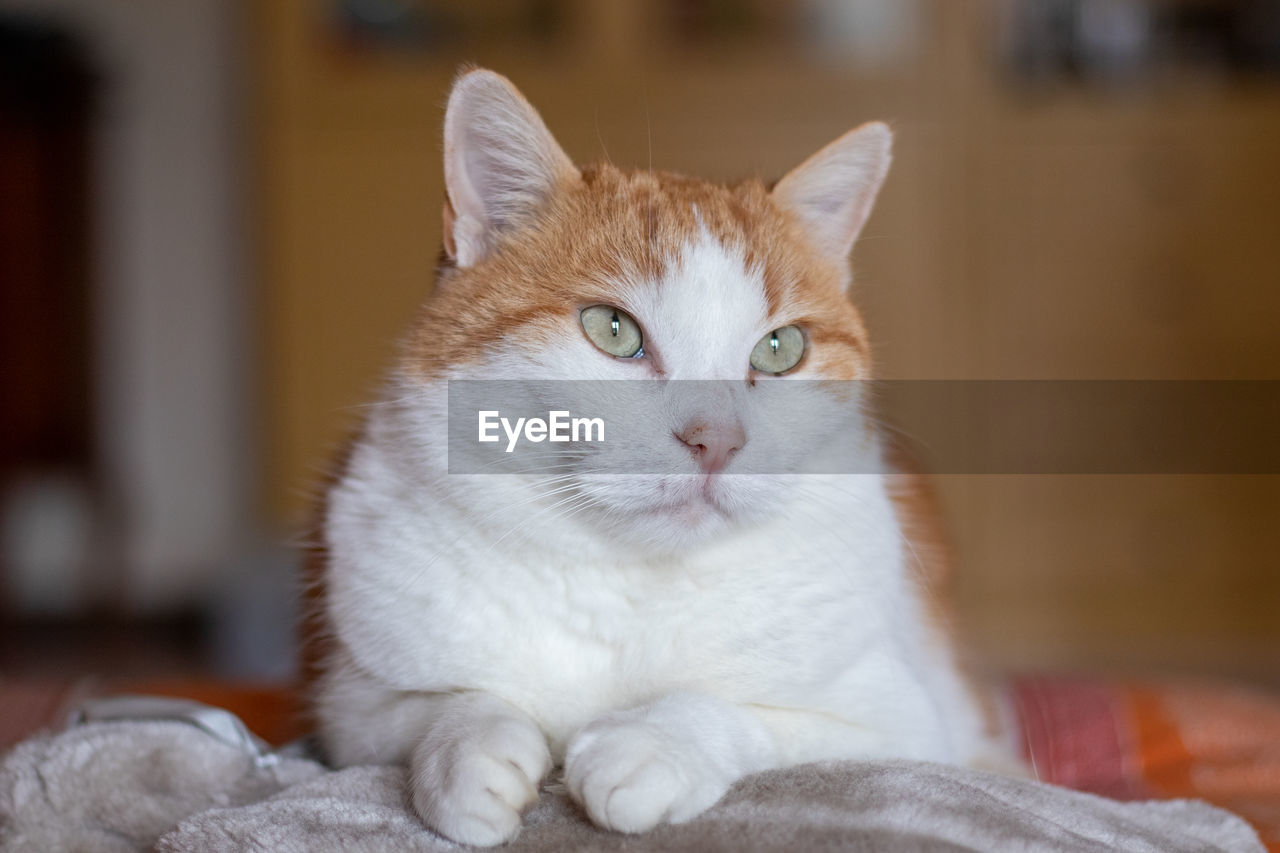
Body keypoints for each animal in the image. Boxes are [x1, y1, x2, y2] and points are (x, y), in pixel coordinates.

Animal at [312, 68, 1008, 845]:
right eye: (612, 329)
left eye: (781, 348)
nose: (717, 439)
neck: (623, 584)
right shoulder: (350, 705)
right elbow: (437, 704)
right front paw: (472, 748)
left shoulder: (905, 723)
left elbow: (755, 717)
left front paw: (654, 743)